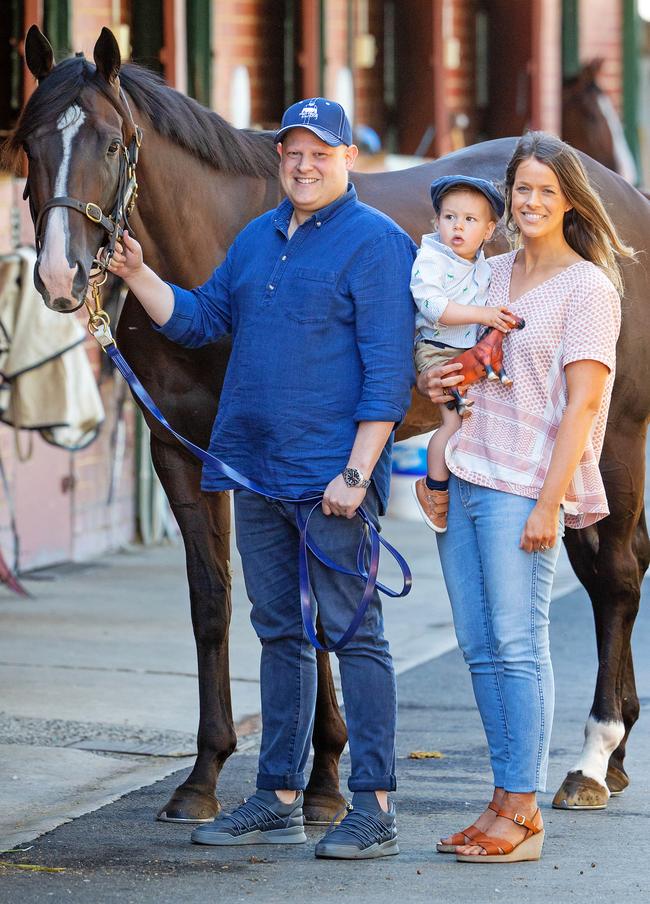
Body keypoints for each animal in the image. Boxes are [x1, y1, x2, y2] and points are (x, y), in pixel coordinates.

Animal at [6, 26, 648, 820]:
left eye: (114, 142)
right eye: (28, 141)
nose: (59, 276)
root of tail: (617, 197)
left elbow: (318, 607)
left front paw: (326, 780)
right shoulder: (184, 455)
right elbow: (214, 602)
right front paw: (206, 775)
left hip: (615, 433)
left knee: (617, 574)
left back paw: (593, 756)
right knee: (606, 567)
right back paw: (614, 755)